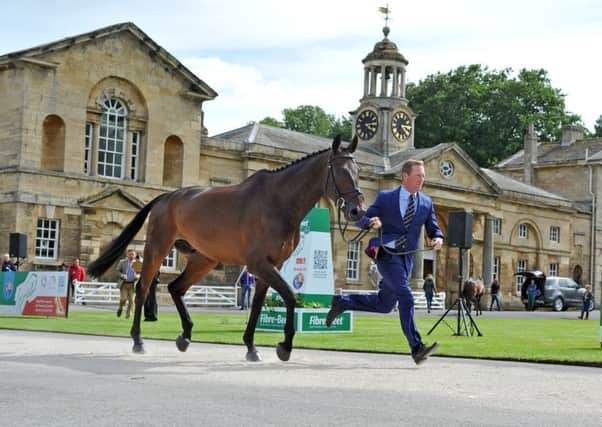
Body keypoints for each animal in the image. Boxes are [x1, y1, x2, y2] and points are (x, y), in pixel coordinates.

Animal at [86, 136, 364, 362]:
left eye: (357, 171)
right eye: (341, 171)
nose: (356, 210)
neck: (277, 202)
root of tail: (167, 197)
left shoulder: (271, 265)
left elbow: (257, 304)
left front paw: (251, 346)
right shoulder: (258, 264)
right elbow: (289, 296)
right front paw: (284, 345)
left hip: (203, 260)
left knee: (176, 288)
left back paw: (185, 335)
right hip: (157, 249)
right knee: (143, 289)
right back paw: (138, 340)